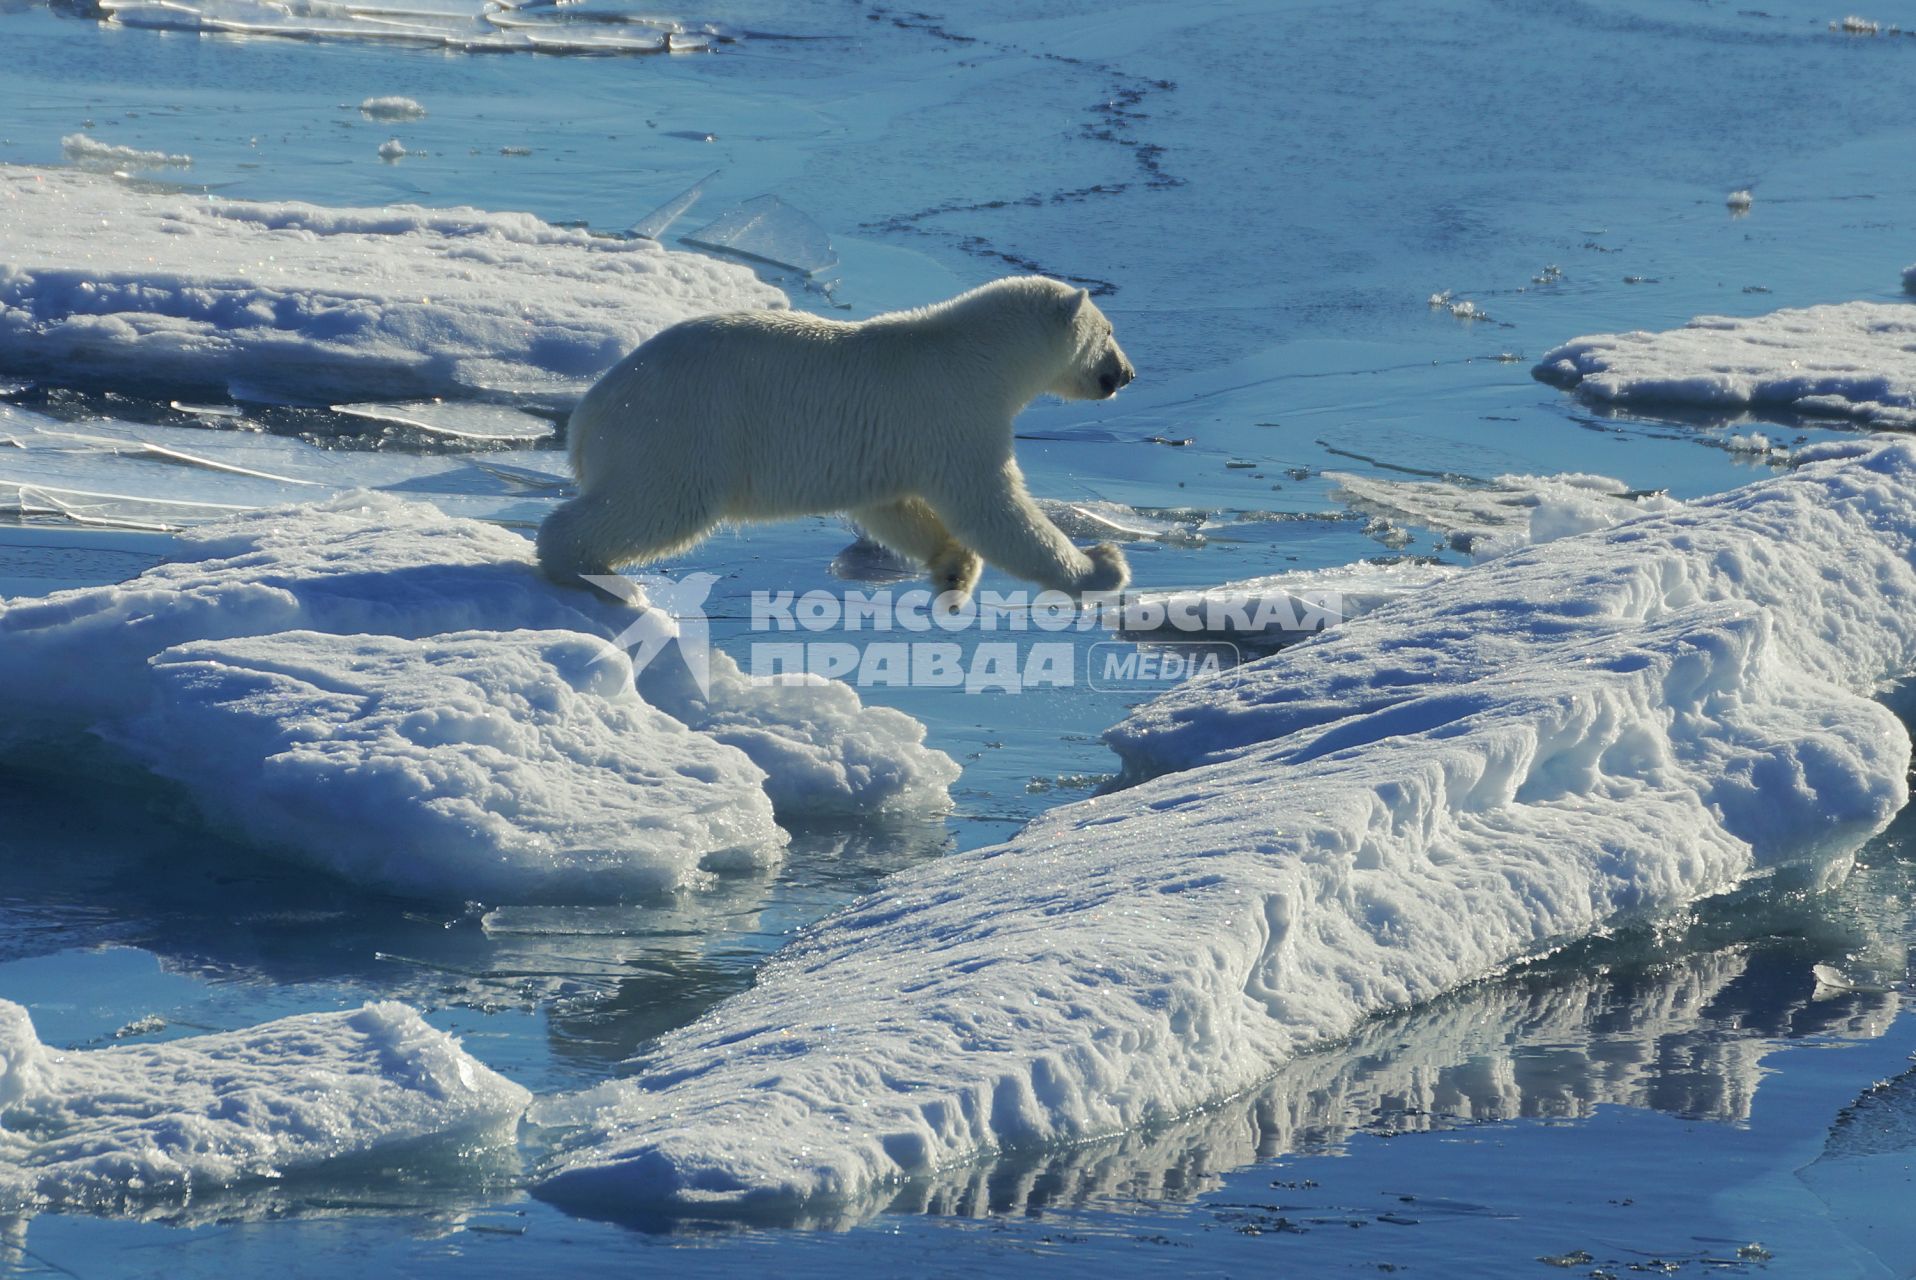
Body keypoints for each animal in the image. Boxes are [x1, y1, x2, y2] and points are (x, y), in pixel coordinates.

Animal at [536, 275, 1134, 594]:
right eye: (1108, 331)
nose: (1126, 373)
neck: (980, 353)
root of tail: (589, 415)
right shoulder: (956, 415)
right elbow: (995, 509)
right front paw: (1103, 565)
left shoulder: (893, 443)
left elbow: (892, 508)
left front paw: (954, 569)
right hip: (681, 432)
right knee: (657, 505)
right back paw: (588, 570)